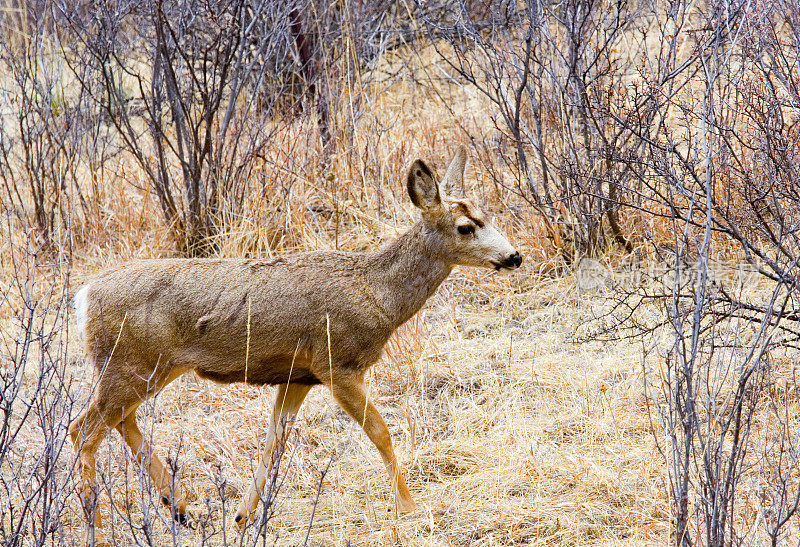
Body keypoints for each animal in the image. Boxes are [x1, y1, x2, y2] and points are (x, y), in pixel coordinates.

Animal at [67, 147, 520, 540]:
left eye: (487, 213)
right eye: (465, 227)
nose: (514, 257)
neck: (377, 294)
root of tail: (84, 296)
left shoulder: (297, 376)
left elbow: (274, 443)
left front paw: (242, 516)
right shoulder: (336, 362)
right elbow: (379, 431)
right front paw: (408, 506)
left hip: (145, 367)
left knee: (120, 422)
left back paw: (181, 507)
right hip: (131, 363)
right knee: (82, 429)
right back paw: (101, 530)